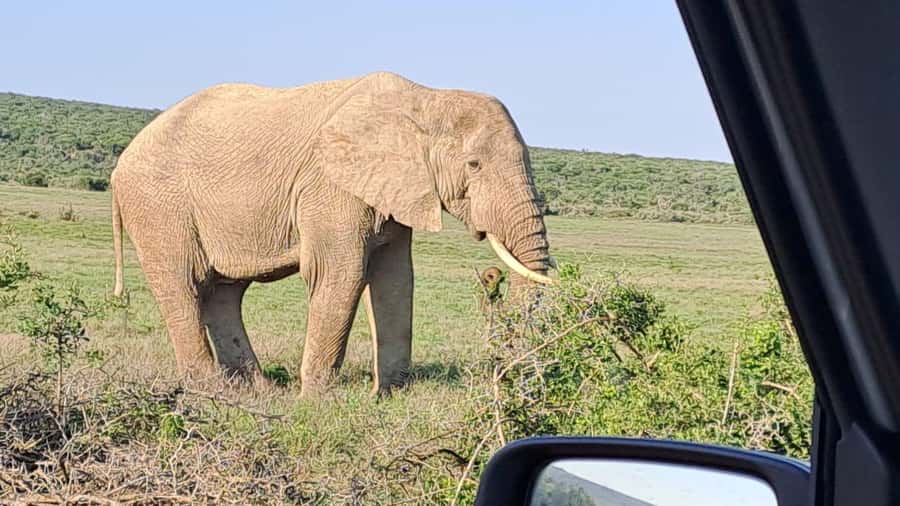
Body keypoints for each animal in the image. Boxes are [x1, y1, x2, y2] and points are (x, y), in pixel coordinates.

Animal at [110, 71, 553, 396]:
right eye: (474, 165)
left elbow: (396, 279)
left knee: (224, 292)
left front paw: (389, 397)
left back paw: (256, 393)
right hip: (158, 206)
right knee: (184, 287)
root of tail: (119, 166)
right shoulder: (330, 187)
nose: (507, 376)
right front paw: (317, 403)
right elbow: (341, 274)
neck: (426, 98)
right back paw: (212, 394)